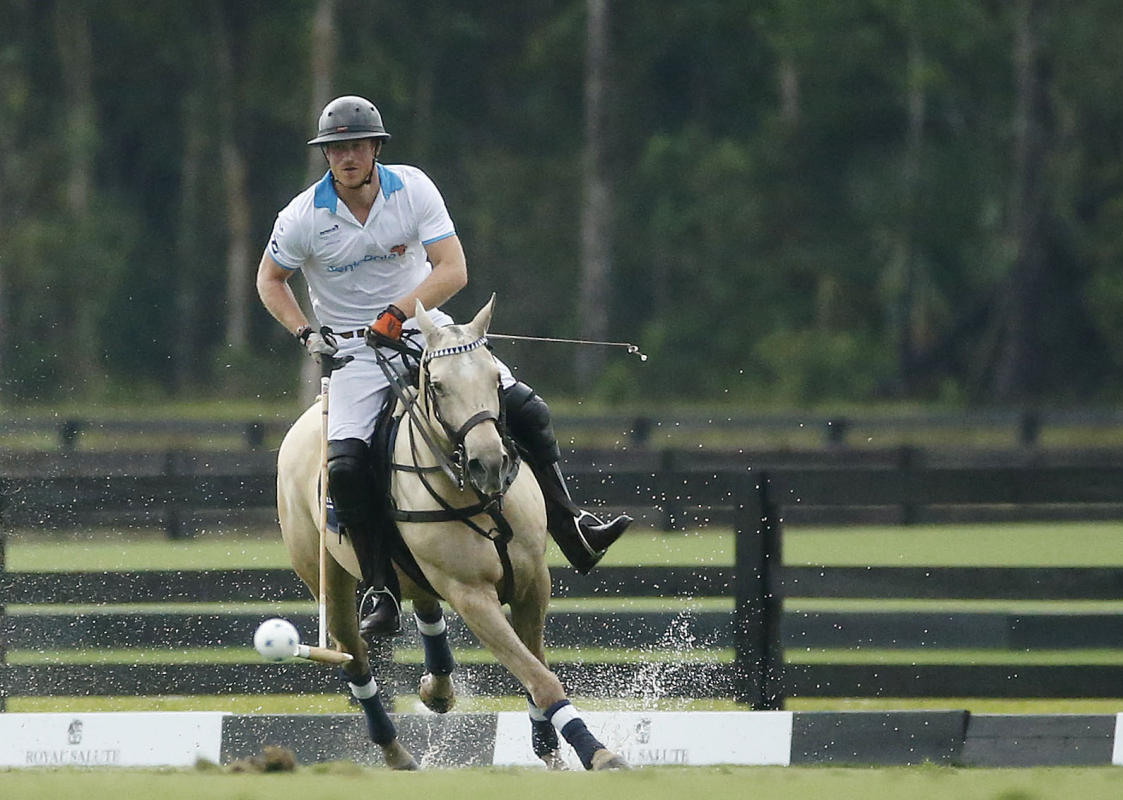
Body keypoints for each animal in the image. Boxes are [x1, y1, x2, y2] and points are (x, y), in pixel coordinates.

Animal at [270, 296, 624, 773]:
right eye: (436, 386)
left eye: (495, 377)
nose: (489, 463)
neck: (475, 493)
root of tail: (308, 419)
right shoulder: (471, 594)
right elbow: (540, 677)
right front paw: (597, 752)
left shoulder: (534, 582)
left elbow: (534, 668)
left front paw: (551, 749)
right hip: (327, 578)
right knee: (355, 658)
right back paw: (396, 751)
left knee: (424, 605)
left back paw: (437, 688)